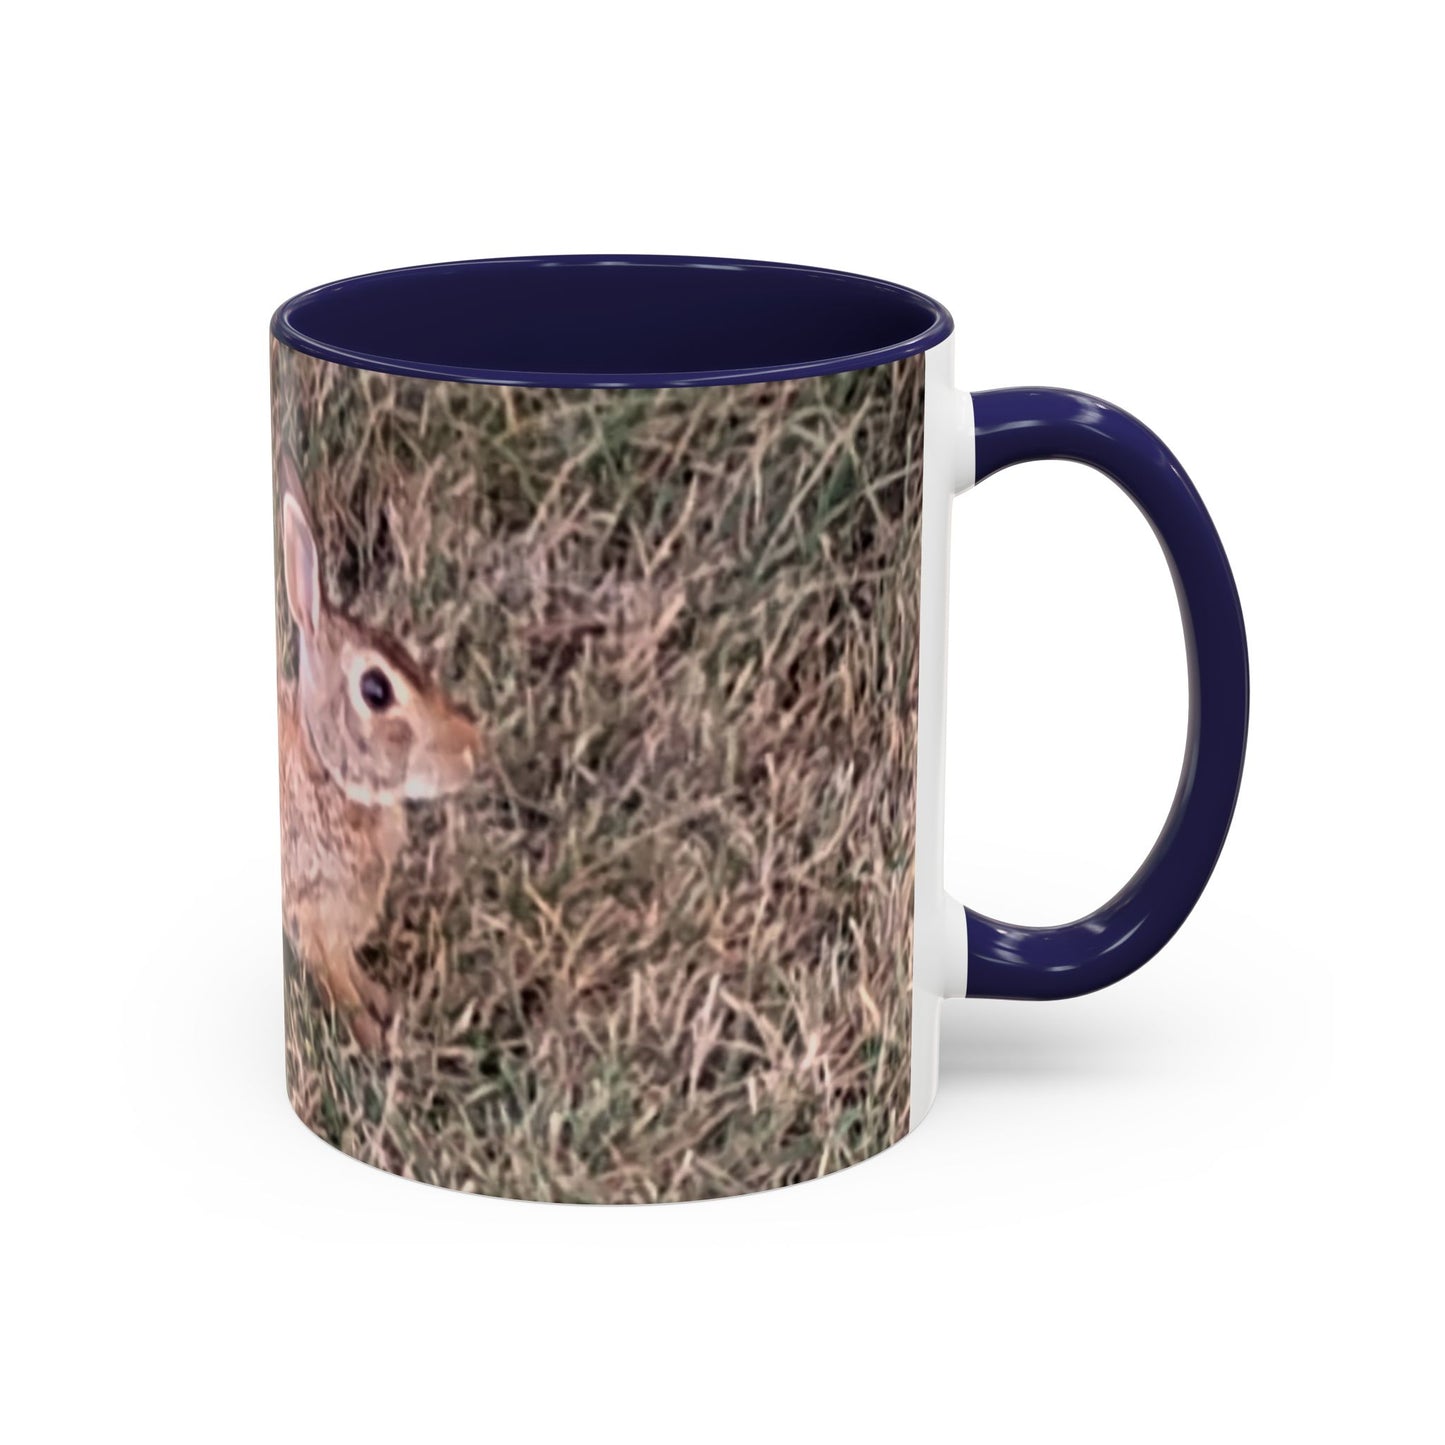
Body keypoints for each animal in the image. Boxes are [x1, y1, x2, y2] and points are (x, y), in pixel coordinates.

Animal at [276, 454, 480, 1050]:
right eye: (375, 690)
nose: (473, 748)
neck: (326, 774)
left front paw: (386, 1004)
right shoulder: (313, 917)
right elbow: (338, 981)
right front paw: (369, 1034)